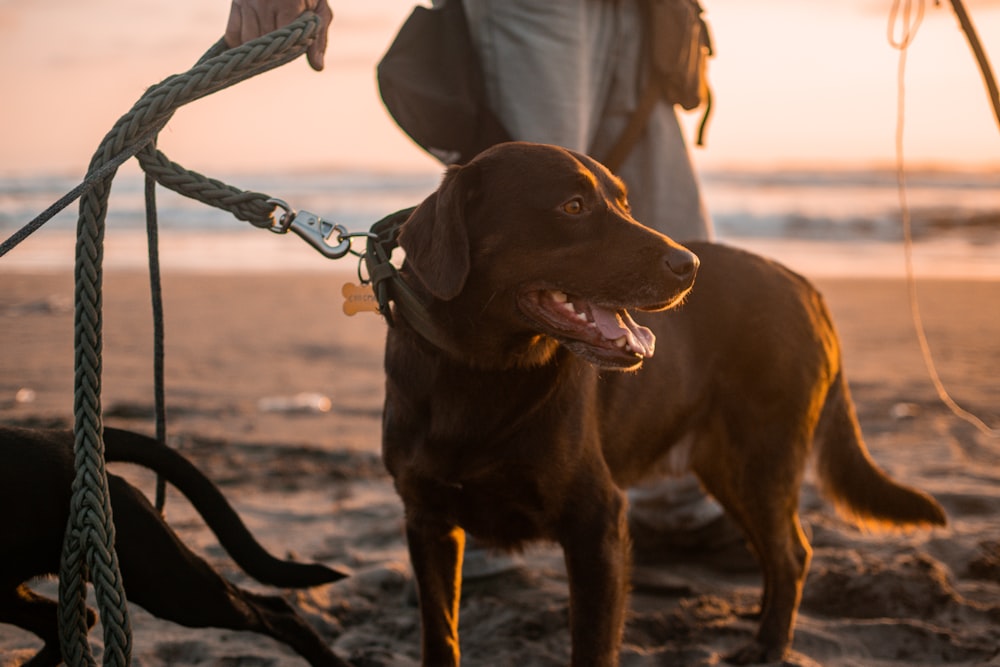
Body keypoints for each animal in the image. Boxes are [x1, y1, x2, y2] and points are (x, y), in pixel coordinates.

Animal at [380, 144, 944, 664]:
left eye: (625, 203)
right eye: (573, 206)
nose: (688, 266)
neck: (477, 373)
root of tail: (806, 287)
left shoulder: (597, 523)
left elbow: (592, 646)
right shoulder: (427, 522)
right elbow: (440, 633)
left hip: (762, 462)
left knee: (791, 554)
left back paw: (767, 644)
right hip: (730, 469)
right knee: (775, 549)